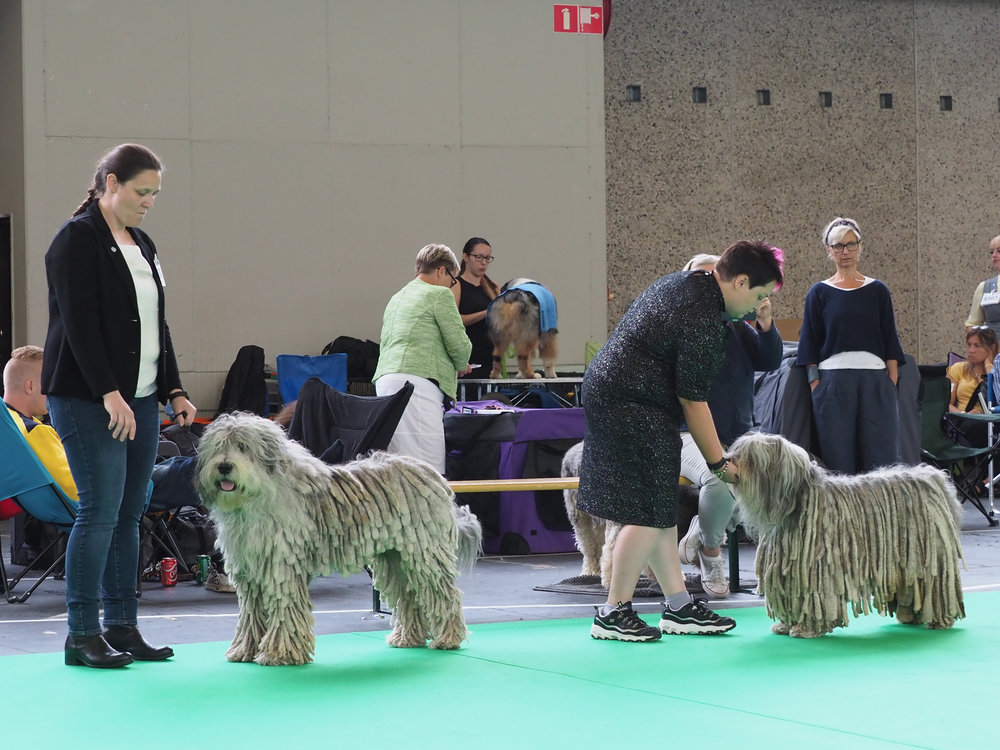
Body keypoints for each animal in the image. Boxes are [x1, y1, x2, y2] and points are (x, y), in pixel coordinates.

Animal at [195, 414, 480, 668]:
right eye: (219, 447)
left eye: (243, 447)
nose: (224, 466)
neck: (257, 497)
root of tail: (432, 474)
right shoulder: (251, 571)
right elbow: (252, 613)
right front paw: (245, 650)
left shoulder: (282, 566)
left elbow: (284, 608)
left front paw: (279, 654)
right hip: (395, 557)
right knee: (409, 596)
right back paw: (407, 638)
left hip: (425, 551)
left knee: (445, 594)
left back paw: (448, 638)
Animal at [732, 432, 964, 636]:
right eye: (738, 451)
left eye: (751, 458)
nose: (728, 459)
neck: (798, 502)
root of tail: (934, 477)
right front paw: (786, 625)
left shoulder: (816, 566)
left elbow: (814, 598)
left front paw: (806, 628)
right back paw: (911, 616)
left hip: (930, 556)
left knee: (934, 587)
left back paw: (939, 620)